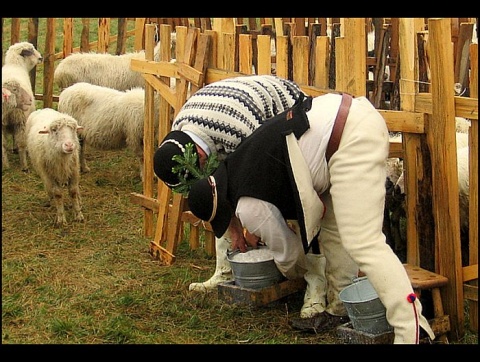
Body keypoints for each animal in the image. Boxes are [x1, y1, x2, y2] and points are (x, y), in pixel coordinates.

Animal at [1, 41, 43, 172]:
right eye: (31, 50)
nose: (41, 58)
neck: (15, 65)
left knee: (3, 145)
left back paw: (6, 166)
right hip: (21, 120)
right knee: (22, 144)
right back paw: (24, 166)